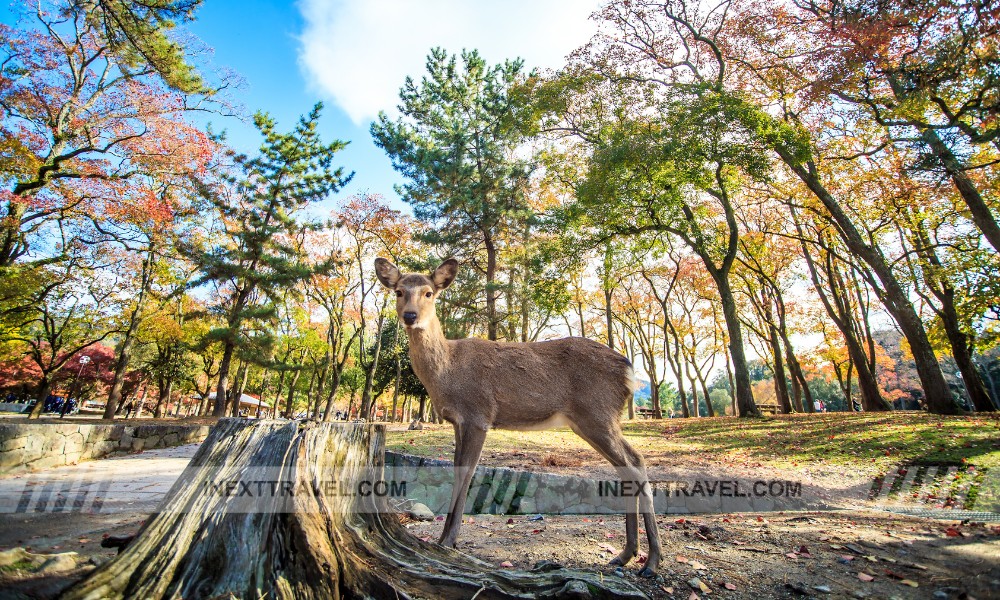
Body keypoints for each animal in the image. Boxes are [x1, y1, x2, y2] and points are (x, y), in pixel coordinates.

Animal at [376, 256, 664, 576]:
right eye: (399, 291)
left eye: (429, 293)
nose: (410, 315)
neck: (446, 373)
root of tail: (629, 371)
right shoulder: (458, 421)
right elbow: (456, 469)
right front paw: (445, 538)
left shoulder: (478, 414)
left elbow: (466, 473)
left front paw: (448, 540)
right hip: (595, 419)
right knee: (630, 463)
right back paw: (626, 555)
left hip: (597, 413)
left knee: (634, 464)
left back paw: (651, 561)